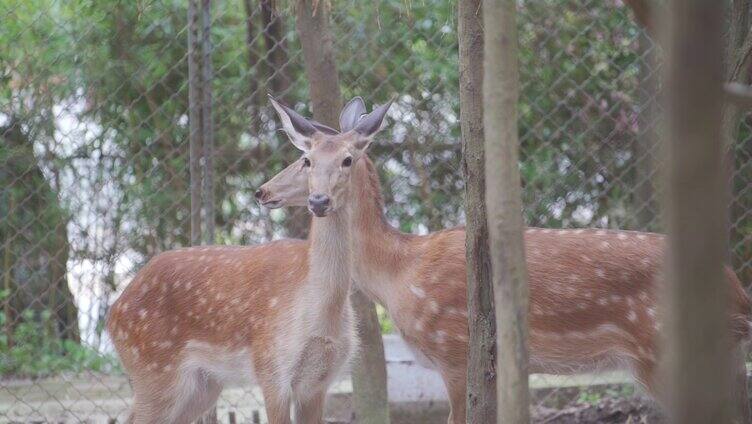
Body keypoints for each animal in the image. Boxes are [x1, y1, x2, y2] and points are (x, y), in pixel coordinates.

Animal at [106, 97, 368, 424]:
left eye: (348, 160)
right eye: (306, 159)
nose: (319, 200)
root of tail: (113, 312)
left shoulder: (319, 381)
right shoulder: (271, 366)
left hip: (200, 385)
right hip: (152, 370)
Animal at [258, 97, 752, 424]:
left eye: (343, 159)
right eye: (306, 157)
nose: (264, 192)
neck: (399, 272)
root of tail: (738, 293)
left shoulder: (457, 353)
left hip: (664, 351)